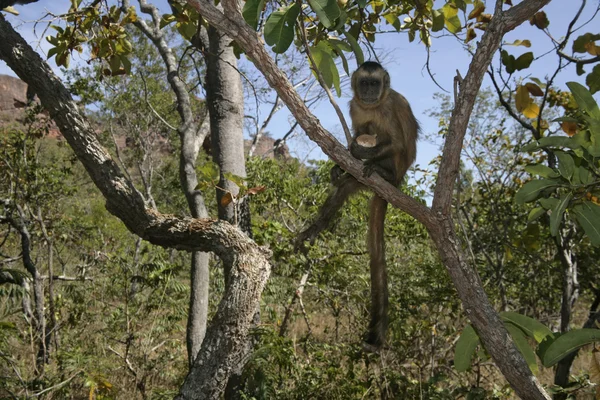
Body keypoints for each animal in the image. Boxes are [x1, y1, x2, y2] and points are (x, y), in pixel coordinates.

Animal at [296, 61, 420, 352]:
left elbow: (396, 142)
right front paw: (339, 163)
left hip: (396, 171)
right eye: (365, 83)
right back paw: (314, 229)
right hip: (359, 181)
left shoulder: (388, 106)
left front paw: (362, 152)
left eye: (375, 84)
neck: (373, 106)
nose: (370, 92)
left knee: (387, 144)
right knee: (344, 187)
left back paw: (380, 171)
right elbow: (357, 131)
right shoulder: (355, 106)